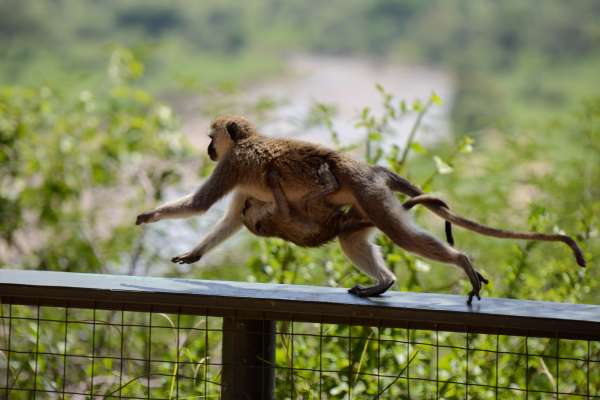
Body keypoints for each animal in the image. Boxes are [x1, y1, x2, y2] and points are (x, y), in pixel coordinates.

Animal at [137, 115, 584, 304]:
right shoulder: (240, 181)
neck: (248, 142)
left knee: (402, 234)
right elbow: (230, 218)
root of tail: (367, 170)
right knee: (353, 239)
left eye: (212, 139)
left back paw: (460, 261)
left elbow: (200, 205)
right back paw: (383, 282)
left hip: (369, 195)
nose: (208, 150)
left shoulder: (233, 165)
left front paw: (148, 217)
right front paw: (194, 252)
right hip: (359, 206)